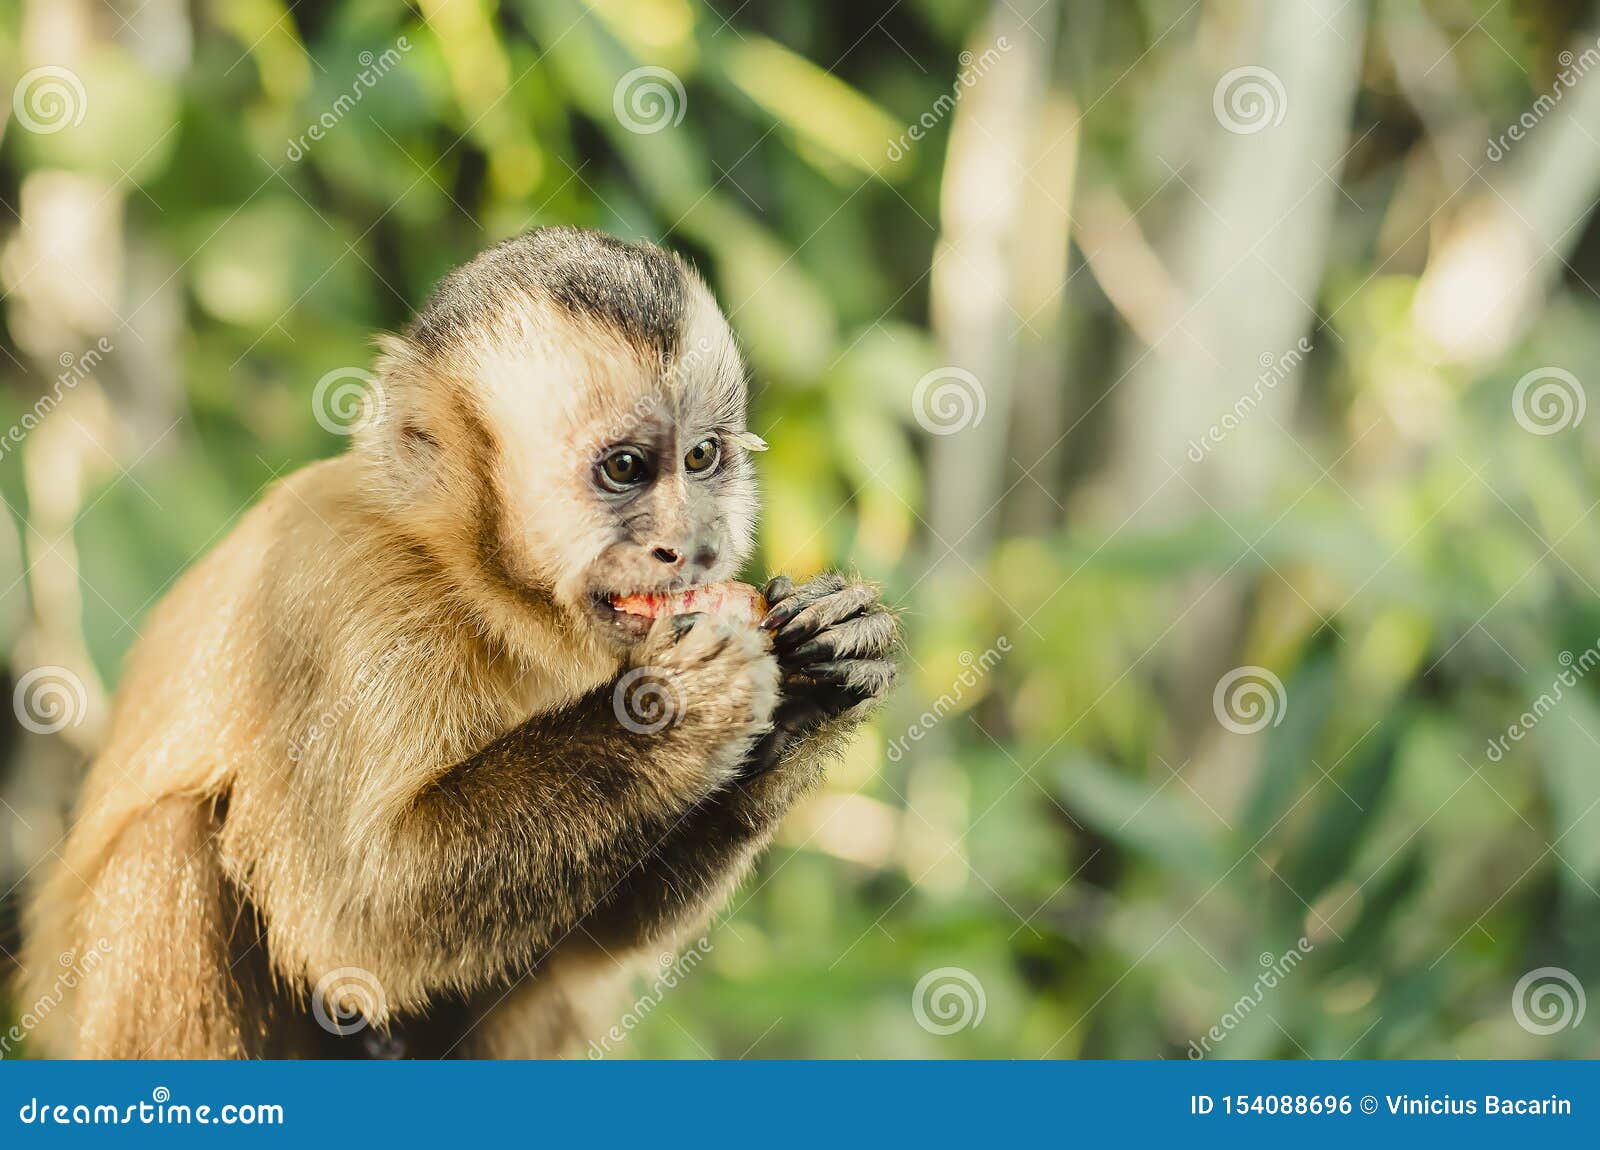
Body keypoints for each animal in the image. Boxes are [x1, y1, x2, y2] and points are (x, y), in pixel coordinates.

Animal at [18, 227, 902, 1062]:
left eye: (701, 457)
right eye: (625, 468)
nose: (694, 545)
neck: (471, 580)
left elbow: (578, 949)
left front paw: (818, 687)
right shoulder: (350, 590)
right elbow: (358, 917)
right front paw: (678, 705)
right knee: (174, 838)